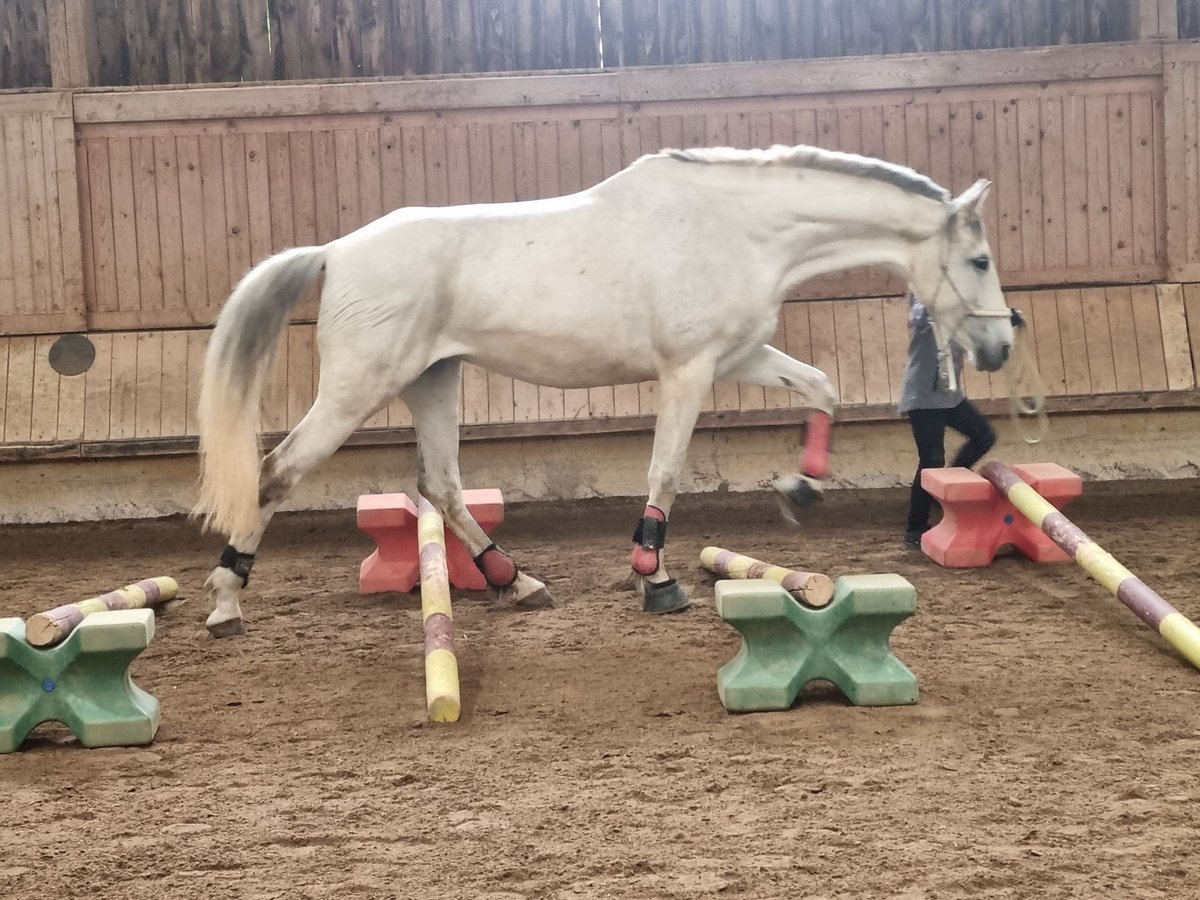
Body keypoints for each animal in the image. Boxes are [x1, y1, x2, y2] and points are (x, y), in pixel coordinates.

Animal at [194, 144, 1013, 635]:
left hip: (432, 378)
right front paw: (656, 579)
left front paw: (800, 489)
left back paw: (515, 580)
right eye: (977, 260)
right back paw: (227, 599)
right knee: (276, 473)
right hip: (360, 386)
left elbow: (823, 388)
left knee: (441, 484)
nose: (1000, 347)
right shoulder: (689, 369)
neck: (738, 229)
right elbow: (666, 470)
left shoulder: (739, 354)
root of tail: (335, 251)